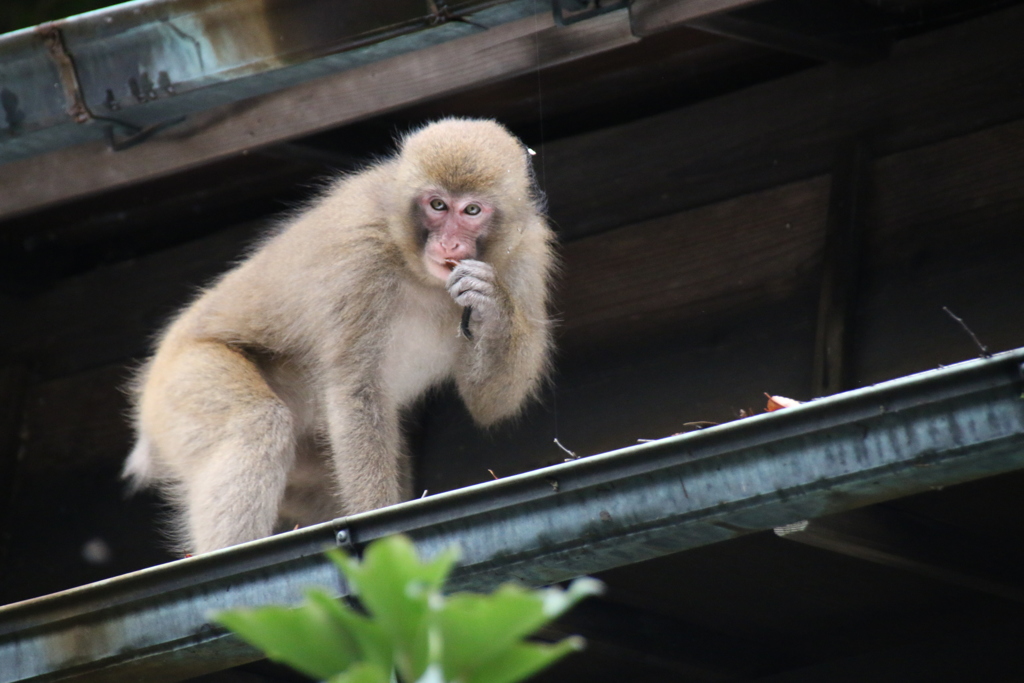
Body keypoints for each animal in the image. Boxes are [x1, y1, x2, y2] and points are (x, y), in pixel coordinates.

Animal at [123, 118, 557, 557]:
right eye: (437, 206)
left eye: (471, 210)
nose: (450, 243)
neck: (418, 269)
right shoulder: (360, 256)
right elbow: (356, 387)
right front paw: (379, 522)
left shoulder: (526, 253)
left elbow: (490, 405)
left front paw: (490, 304)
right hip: (177, 385)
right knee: (254, 424)